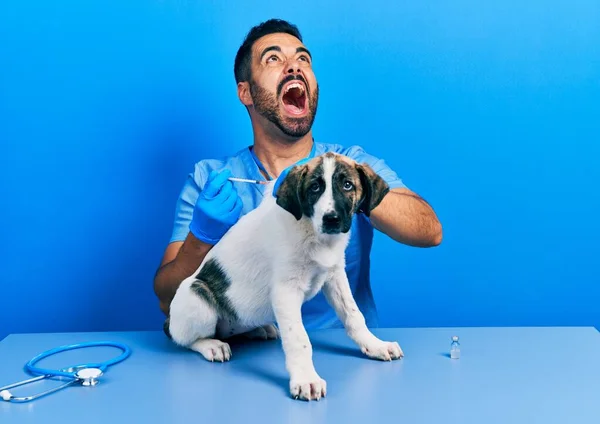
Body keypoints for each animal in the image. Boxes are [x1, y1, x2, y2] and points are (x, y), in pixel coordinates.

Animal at [164, 152, 404, 400]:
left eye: (348, 185)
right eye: (315, 187)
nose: (331, 219)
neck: (315, 235)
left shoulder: (334, 275)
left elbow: (354, 315)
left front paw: (375, 345)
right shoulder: (285, 291)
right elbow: (299, 339)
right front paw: (306, 379)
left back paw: (260, 329)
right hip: (196, 296)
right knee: (182, 337)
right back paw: (212, 345)